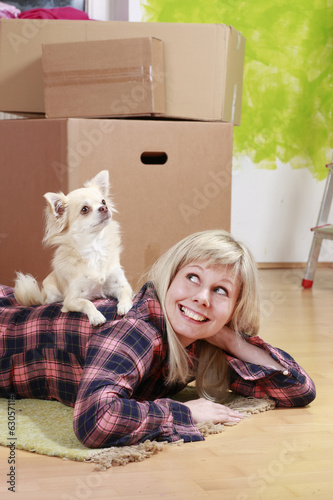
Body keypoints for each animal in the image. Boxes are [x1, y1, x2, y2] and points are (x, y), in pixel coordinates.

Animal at [14, 170, 132, 326]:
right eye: (85, 210)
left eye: (103, 201)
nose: (104, 208)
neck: (94, 248)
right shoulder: (71, 300)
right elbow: (87, 303)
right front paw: (96, 316)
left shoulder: (121, 285)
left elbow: (125, 294)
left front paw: (124, 306)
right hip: (51, 292)